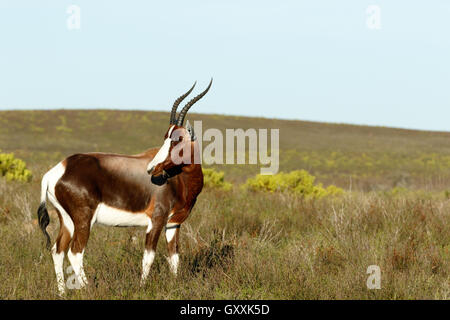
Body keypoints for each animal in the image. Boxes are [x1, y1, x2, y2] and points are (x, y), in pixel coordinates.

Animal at [37, 80, 211, 296]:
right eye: (166, 137)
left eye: (177, 139)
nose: (152, 168)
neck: (177, 179)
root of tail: (58, 169)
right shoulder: (156, 220)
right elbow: (149, 257)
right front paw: (142, 288)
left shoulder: (173, 224)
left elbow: (174, 257)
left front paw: (175, 285)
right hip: (84, 219)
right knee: (75, 252)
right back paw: (89, 289)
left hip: (67, 220)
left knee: (58, 250)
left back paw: (62, 292)